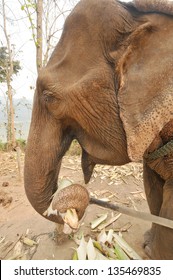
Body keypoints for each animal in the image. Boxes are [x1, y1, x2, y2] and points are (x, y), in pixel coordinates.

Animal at [24, 0, 173, 260]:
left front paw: (151, 252)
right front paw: (147, 245)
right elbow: (153, 190)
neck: (138, 16)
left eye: (49, 97)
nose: (68, 212)